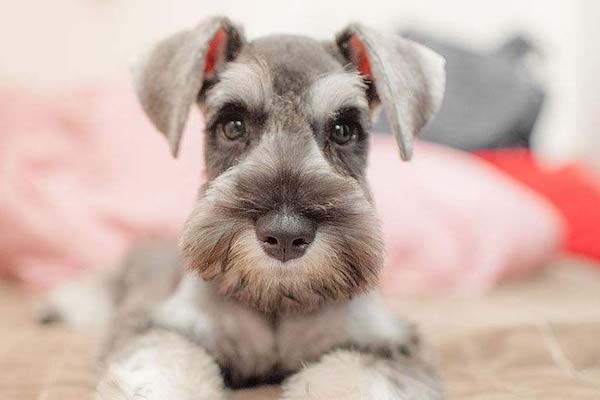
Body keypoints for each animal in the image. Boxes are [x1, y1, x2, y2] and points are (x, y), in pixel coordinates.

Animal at [38, 16, 446, 400]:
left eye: (343, 129)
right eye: (232, 124)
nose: (285, 234)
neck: (277, 301)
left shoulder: (386, 346)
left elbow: (350, 379)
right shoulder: (160, 328)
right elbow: (165, 366)